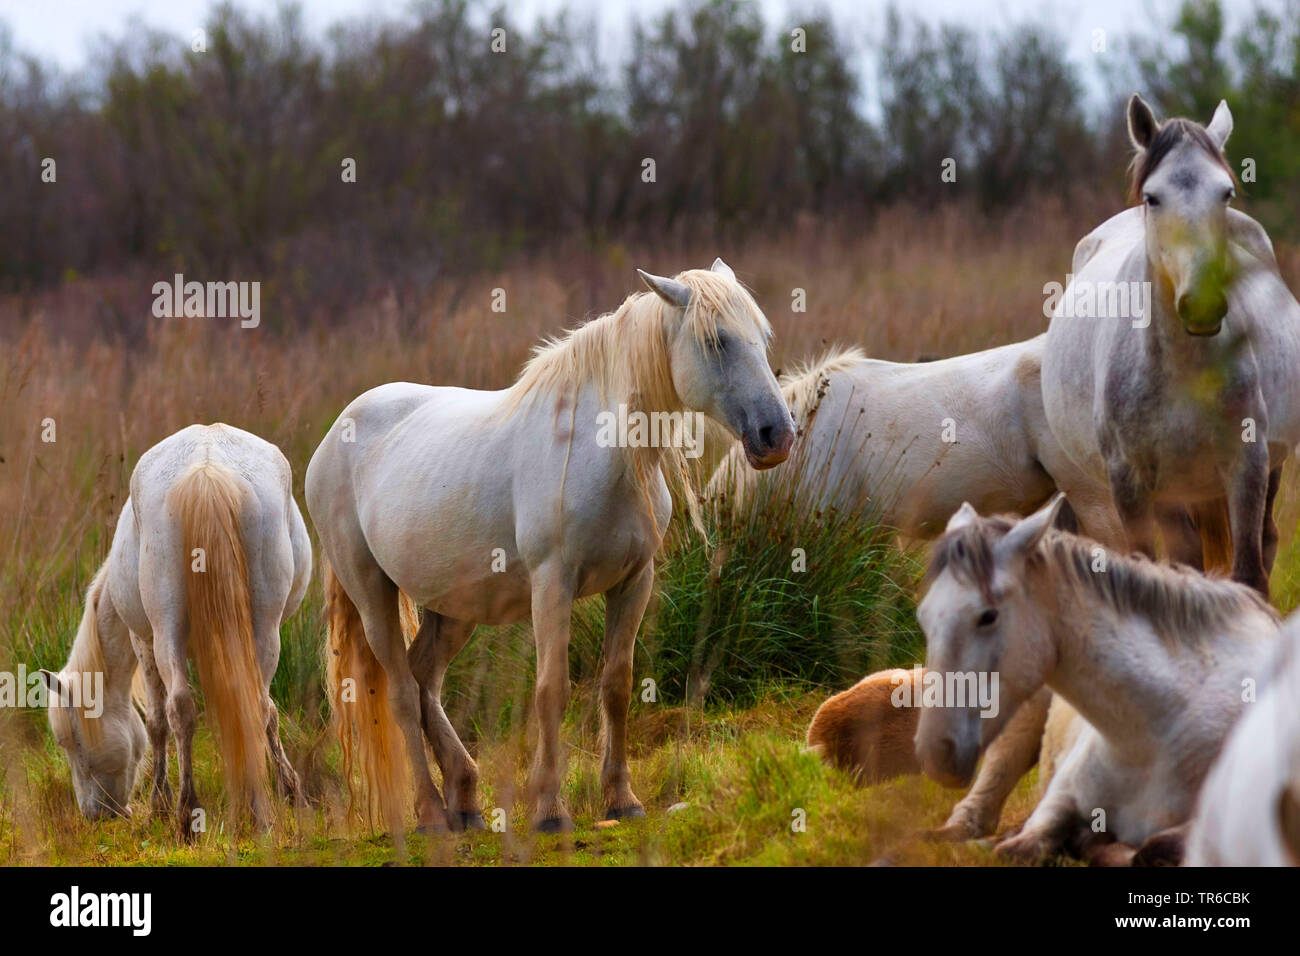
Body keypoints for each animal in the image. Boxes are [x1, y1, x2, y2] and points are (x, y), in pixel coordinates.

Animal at [38, 424, 310, 837]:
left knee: (179, 709)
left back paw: (184, 813)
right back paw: (254, 810)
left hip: (165, 632)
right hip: (263, 628)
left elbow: (154, 723)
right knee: (254, 705)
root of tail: (206, 471)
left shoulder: (142, 640)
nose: (95, 814)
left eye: (71, 743)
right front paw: (288, 790)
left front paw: (159, 804)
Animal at [305, 258, 795, 833]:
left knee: (425, 680)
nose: (776, 435)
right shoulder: (552, 584)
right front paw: (549, 809)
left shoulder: (635, 581)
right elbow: (551, 690)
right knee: (403, 692)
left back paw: (465, 799)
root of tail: (337, 431)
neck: (603, 452)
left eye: (763, 337)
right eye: (716, 341)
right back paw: (430, 813)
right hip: (371, 592)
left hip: (453, 608)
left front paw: (621, 799)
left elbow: (617, 686)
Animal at [915, 494, 1279, 864]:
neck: (1152, 738)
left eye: (987, 616)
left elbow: (1151, 848)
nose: (934, 753)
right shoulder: (1057, 801)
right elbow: (1020, 846)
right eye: (924, 617)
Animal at [1042, 95, 1300, 598]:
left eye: (1226, 193)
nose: (1202, 304)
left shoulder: (1248, 463)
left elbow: (1249, 574)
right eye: (1152, 197)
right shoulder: (1130, 480)